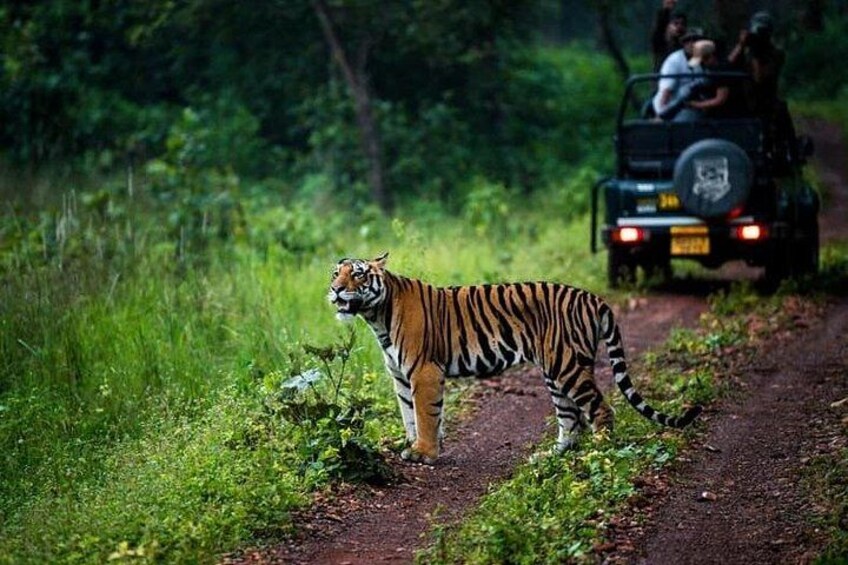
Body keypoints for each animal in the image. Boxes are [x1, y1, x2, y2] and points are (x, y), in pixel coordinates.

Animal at [328, 253, 701, 464]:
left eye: (358, 273)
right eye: (336, 273)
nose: (334, 289)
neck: (376, 317)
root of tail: (594, 298)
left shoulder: (425, 371)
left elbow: (425, 414)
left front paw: (425, 453)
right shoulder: (401, 376)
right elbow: (409, 415)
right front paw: (411, 445)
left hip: (567, 366)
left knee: (600, 409)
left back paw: (600, 451)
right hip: (556, 370)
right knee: (570, 419)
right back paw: (552, 456)